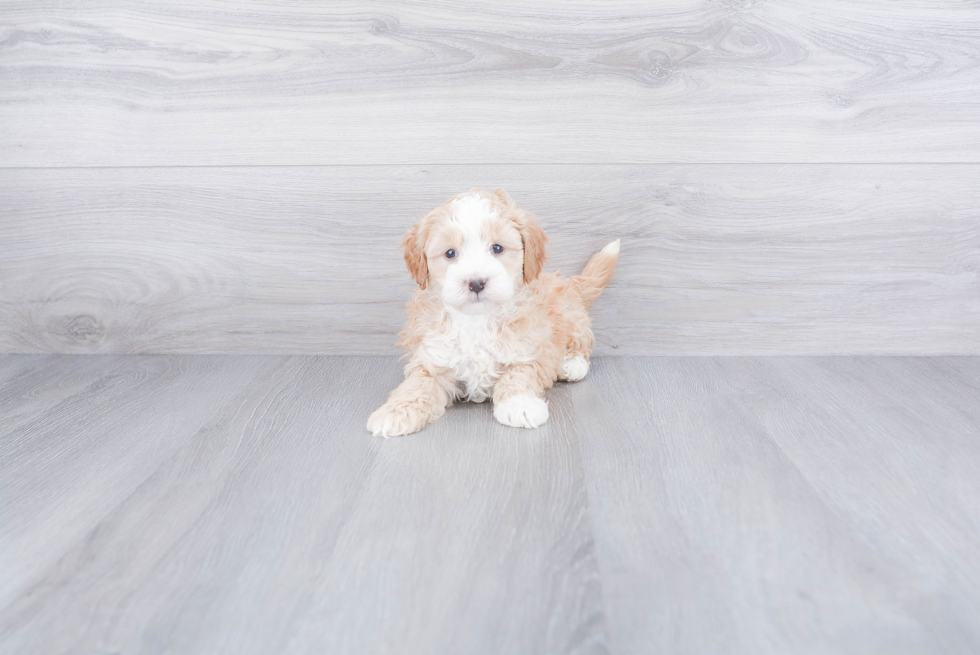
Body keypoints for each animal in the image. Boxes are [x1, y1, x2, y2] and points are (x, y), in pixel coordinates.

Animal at [368, 187, 620, 438]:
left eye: (497, 248)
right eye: (450, 253)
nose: (476, 282)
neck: (477, 319)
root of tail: (568, 283)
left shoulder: (529, 350)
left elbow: (519, 376)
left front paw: (519, 405)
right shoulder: (433, 357)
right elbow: (417, 385)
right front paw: (396, 411)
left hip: (569, 313)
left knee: (580, 340)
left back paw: (572, 364)